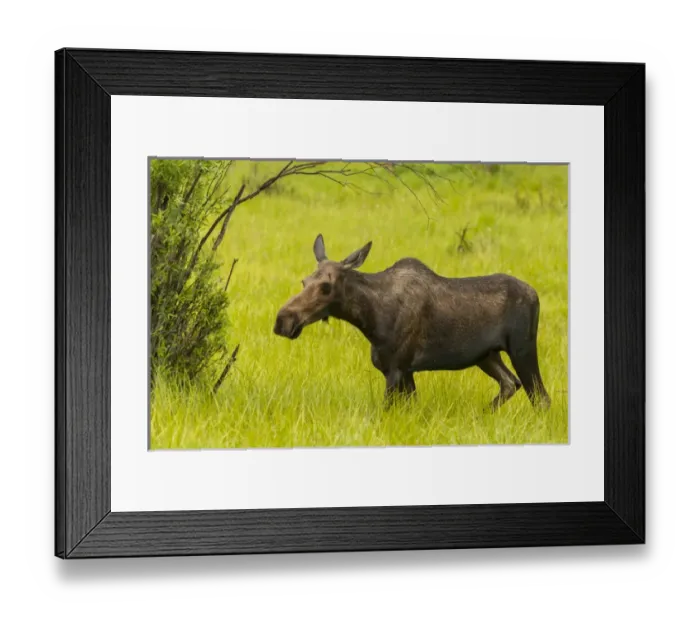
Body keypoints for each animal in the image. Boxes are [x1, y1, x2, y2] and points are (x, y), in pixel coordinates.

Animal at [273, 235, 551, 411]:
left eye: (326, 286)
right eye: (304, 281)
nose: (283, 321)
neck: (369, 320)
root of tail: (535, 294)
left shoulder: (396, 369)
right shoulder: (404, 371)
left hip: (522, 348)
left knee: (541, 398)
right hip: (487, 355)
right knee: (510, 383)